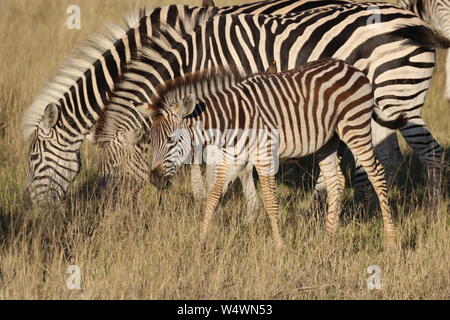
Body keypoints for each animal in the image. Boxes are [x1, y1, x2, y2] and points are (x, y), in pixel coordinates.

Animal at [93, 3, 448, 212]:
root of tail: (417, 21)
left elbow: (219, 158)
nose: (112, 212)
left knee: (429, 152)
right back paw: (364, 208)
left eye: (112, 168)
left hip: (397, 99)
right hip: (381, 107)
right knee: (389, 157)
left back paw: (429, 212)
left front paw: (235, 206)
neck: (195, 60)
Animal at [135, 59, 402, 250]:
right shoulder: (230, 158)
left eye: (171, 140)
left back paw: (390, 242)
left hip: (355, 128)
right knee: (336, 182)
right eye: (151, 141)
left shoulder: (264, 156)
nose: (154, 179)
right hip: (328, 140)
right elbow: (213, 198)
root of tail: (353, 68)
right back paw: (328, 244)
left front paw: (279, 247)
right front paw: (200, 244)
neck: (230, 121)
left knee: (377, 173)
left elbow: (270, 202)